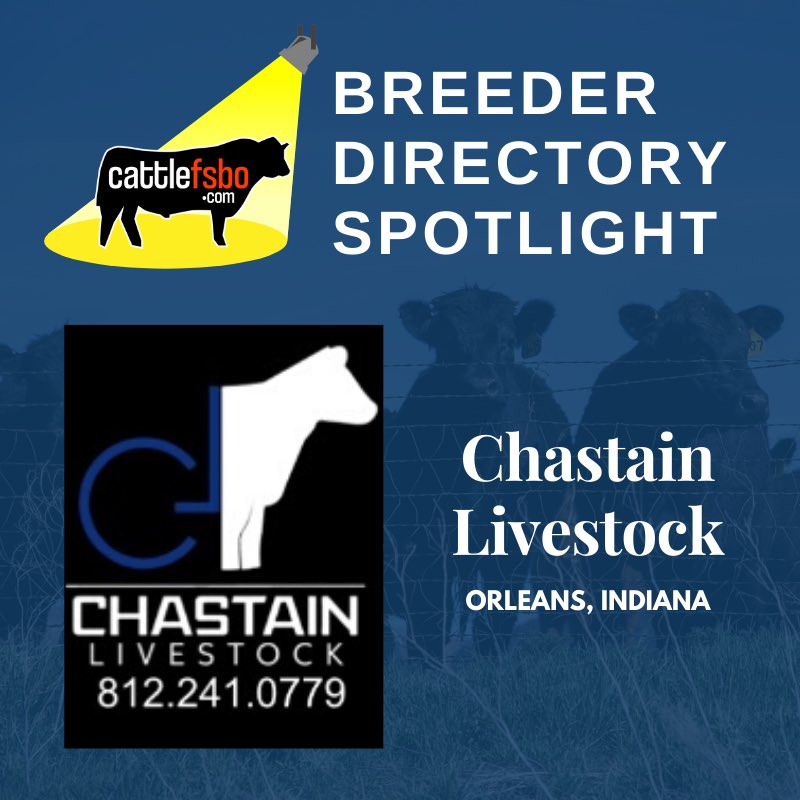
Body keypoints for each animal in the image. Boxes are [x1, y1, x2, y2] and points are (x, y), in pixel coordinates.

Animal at [95, 137, 291, 248]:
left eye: (281, 153)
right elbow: (218, 227)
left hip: (130, 202)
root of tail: (113, 152)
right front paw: (221, 244)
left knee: (125, 219)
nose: (287, 170)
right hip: (115, 200)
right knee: (109, 220)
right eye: (272, 154)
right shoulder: (219, 206)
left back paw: (135, 244)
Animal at [221, 346, 377, 570]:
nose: (374, 409)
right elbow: (233, 534)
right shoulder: (235, 496)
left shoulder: (257, 499)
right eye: (342, 381)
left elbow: (251, 535)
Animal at [385, 287, 572, 661]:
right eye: (445, 342)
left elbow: (497, 614)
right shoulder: (427, 540)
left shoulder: (513, 536)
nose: (476, 386)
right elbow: (430, 617)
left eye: (507, 341)